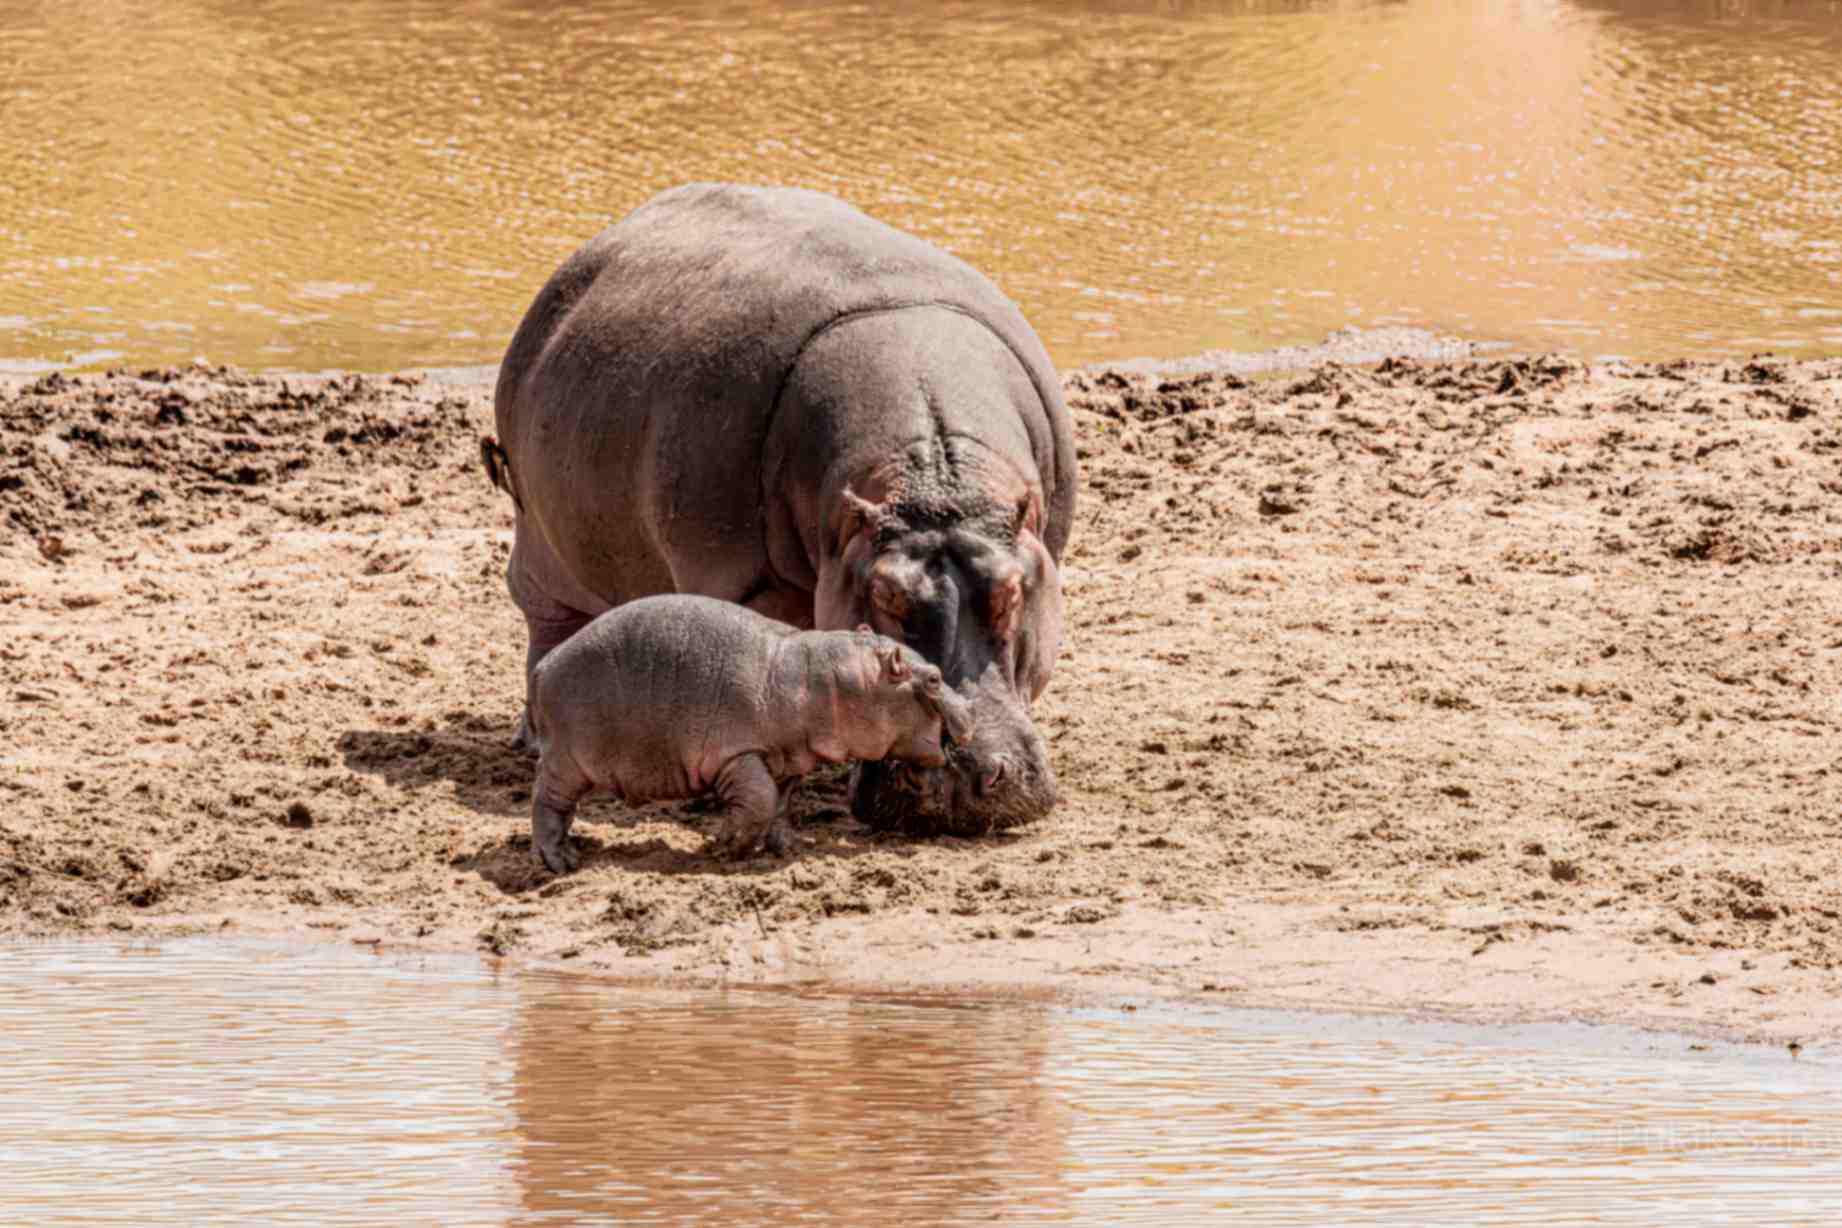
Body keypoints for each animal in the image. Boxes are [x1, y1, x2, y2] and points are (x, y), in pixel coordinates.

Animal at [489, 183, 1076, 834]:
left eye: (1012, 593)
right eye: (884, 595)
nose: (956, 779)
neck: (932, 476)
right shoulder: (736, 582)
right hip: (540, 546)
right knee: (547, 623)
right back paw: (536, 737)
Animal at [525, 595, 976, 871]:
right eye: (934, 679)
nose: (972, 711)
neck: (829, 681)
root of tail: (545, 665)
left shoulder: (791, 758)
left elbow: (780, 804)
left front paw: (790, 847)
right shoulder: (738, 752)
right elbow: (759, 801)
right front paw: (723, 847)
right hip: (566, 758)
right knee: (547, 801)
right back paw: (560, 862)